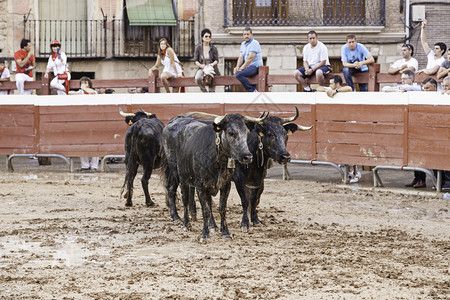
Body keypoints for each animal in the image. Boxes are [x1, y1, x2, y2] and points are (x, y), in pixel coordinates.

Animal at [163, 112, 266, 241]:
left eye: (247, 132)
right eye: (231, 132)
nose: (247, 157)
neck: (217, 160)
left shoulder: (226, 185)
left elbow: (222, 208)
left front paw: (225, 232)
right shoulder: (201, 186)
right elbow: (206, 210)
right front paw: (205, 234)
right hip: (180, 176)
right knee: (183, 198)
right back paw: (185, 223)